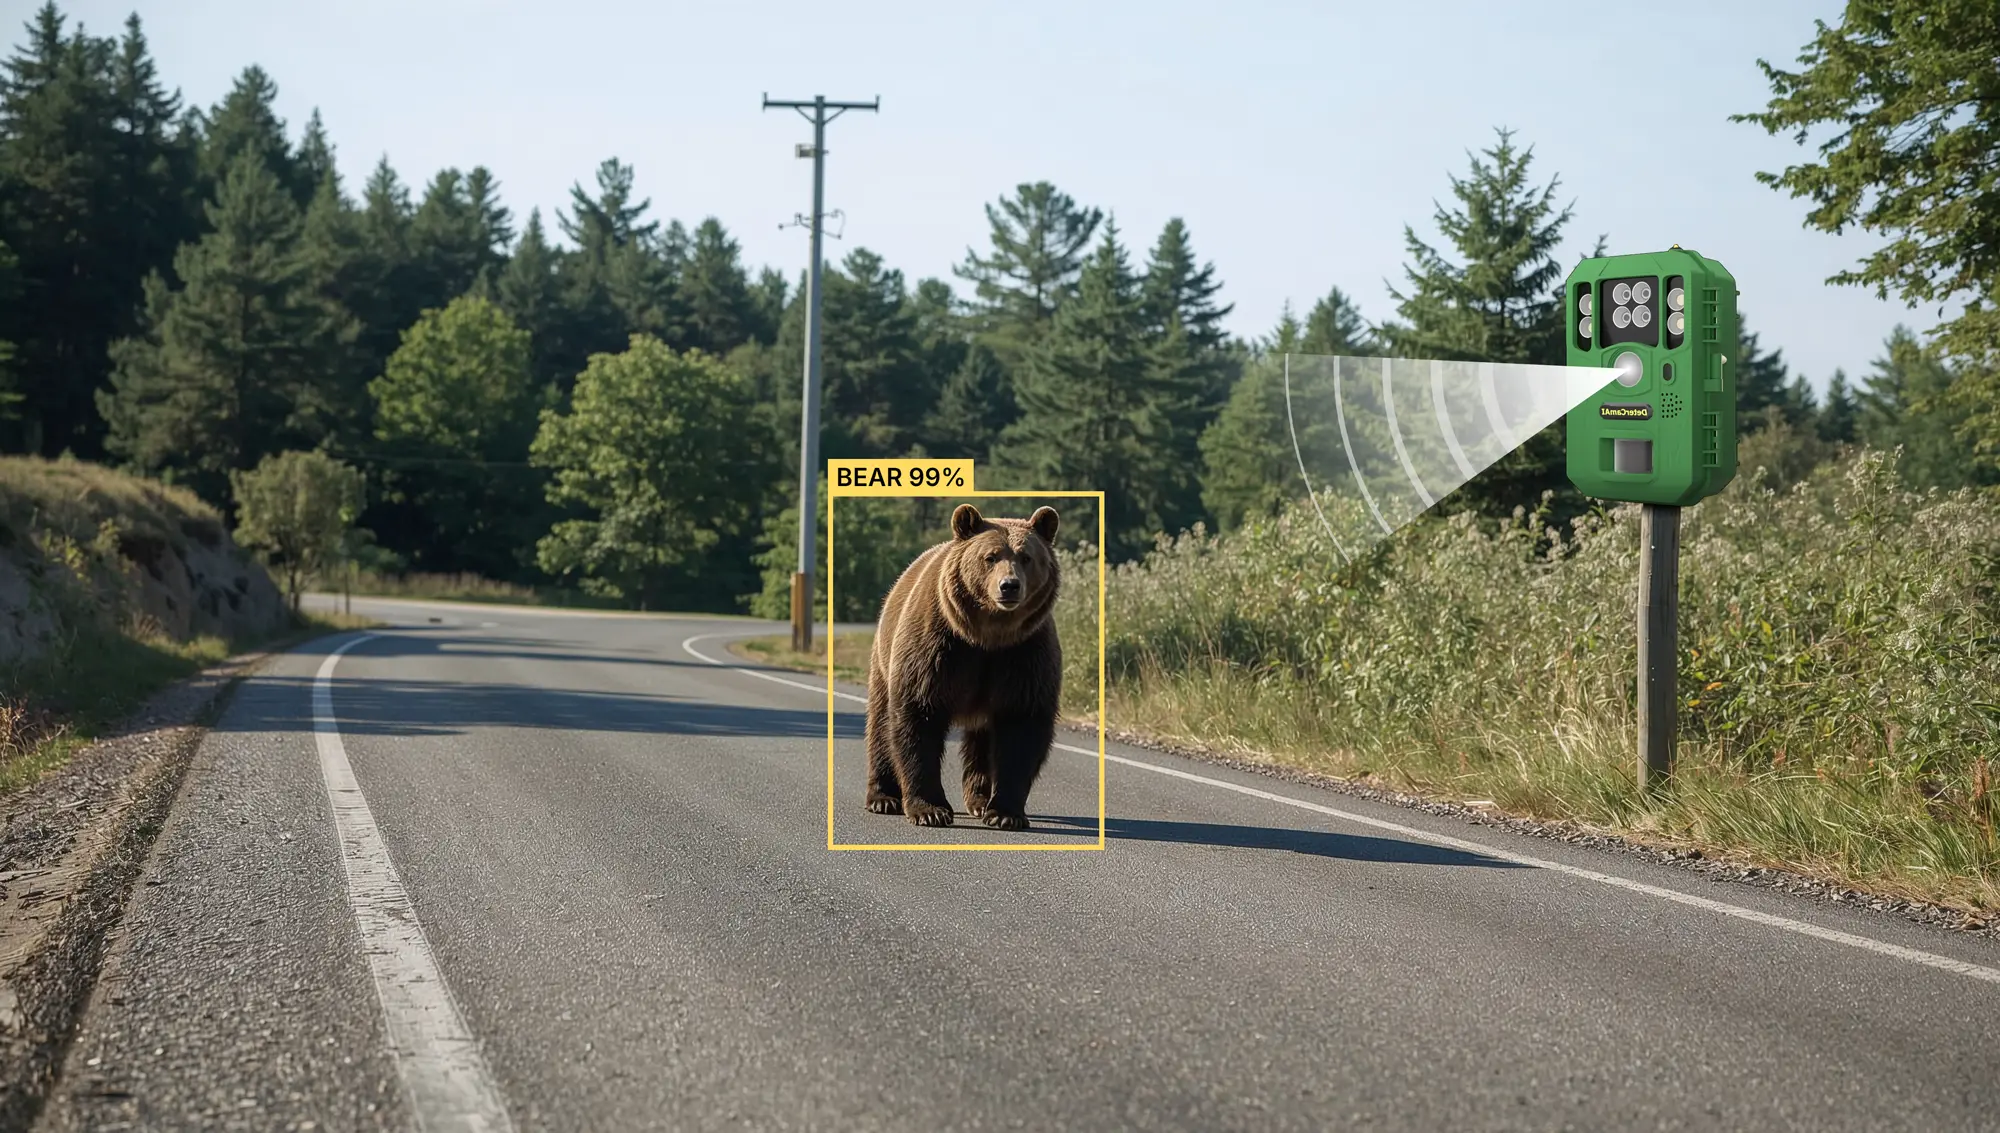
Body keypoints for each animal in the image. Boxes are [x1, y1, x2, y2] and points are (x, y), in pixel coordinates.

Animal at [863, 503, 1063, 831]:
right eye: (990, 557)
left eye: (1026, 557)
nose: (1009, 586)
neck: (987, 636)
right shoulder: (938, 648)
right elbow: (918, 717)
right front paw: (930, 810)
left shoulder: (1023, 655)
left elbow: (1022, 727)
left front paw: (1005, 813)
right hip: (884, 657)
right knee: (881, 723)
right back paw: (883, 797)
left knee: (982, 742)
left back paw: (979, 801)